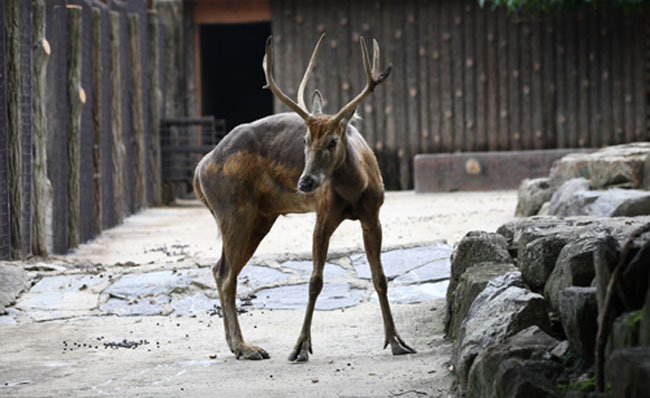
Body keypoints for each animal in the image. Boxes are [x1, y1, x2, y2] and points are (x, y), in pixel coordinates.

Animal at [192, 32, 416, 362]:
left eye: (333, 140)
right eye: (305, 139)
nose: (305, 181)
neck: (354, 190)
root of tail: (200, 170)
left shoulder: (373, 215)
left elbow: (380, 278)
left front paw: (397, 342)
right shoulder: (323, 214)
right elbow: (314, 281)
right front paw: (300, 348)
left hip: (261, 216)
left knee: (220, 269)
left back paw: (238, 346)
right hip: (234, 209)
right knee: (226, 273)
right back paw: (247, 348)